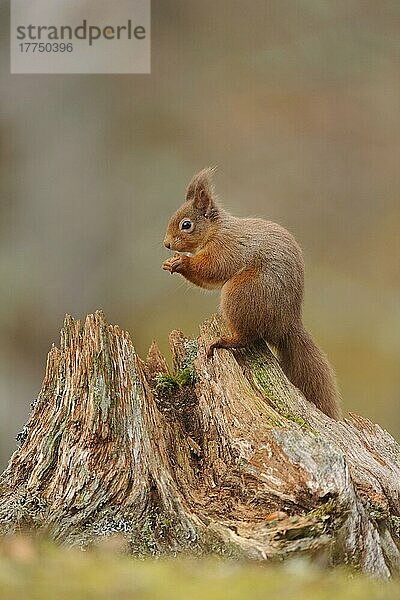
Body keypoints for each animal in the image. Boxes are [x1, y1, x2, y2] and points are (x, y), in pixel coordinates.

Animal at [162, 166, 340, 420]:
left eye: (186, 225)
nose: (166, 244)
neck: (216, 230)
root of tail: (287, 324)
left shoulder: (225, 248)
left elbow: (212, 269)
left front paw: (182, 262)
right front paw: (170, 263)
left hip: (241, 293)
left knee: (248, 336)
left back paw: (223, 341)